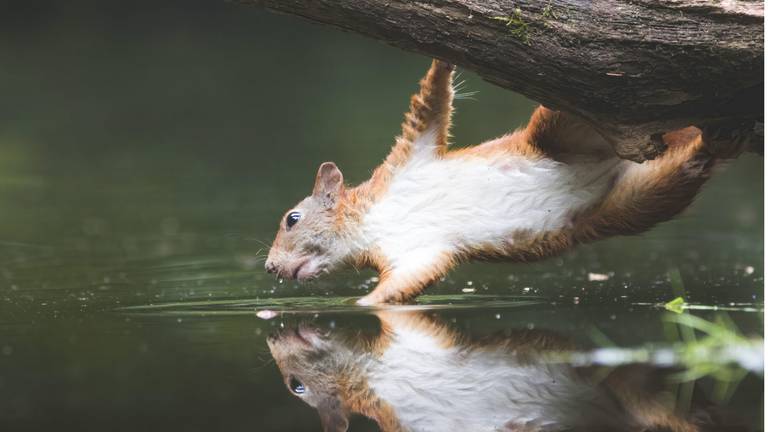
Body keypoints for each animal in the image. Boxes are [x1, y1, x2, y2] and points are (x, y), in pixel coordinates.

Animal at [264, 59, 736, 306]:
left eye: (292, 218)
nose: (269, 267)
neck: (373, 223)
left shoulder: (408, 158)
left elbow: (430, 104)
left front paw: (443, 58)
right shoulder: (415, 254)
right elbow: (401, 287)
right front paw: (360, 305)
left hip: (559, 127)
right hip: (638, 197)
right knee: (685, 166)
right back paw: (714, 141)